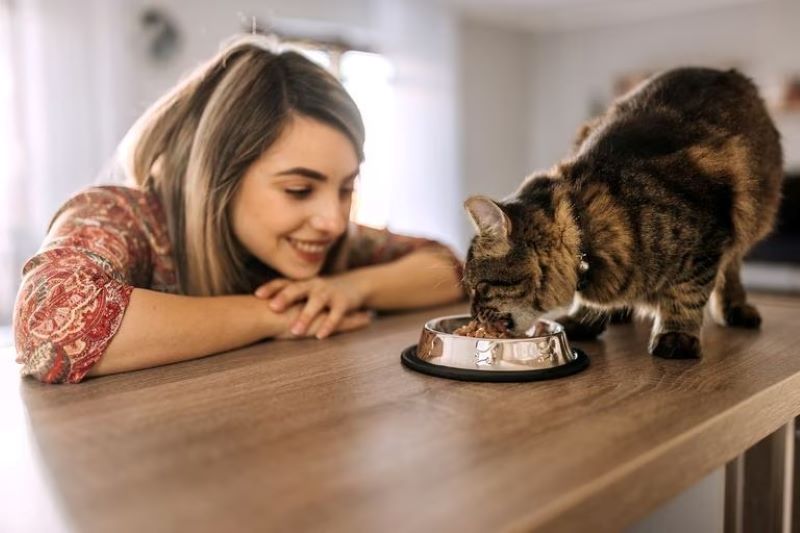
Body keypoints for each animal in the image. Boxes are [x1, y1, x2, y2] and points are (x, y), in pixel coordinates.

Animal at [462, 66, 780, 358]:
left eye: (479, 287)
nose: (474, 315)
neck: (586, 224)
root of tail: (726, 71)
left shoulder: (707, 238)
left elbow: (686, 292)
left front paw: (676, 336)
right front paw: (583, 320)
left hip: (752, 217)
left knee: (731, 268)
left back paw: (735, 308)